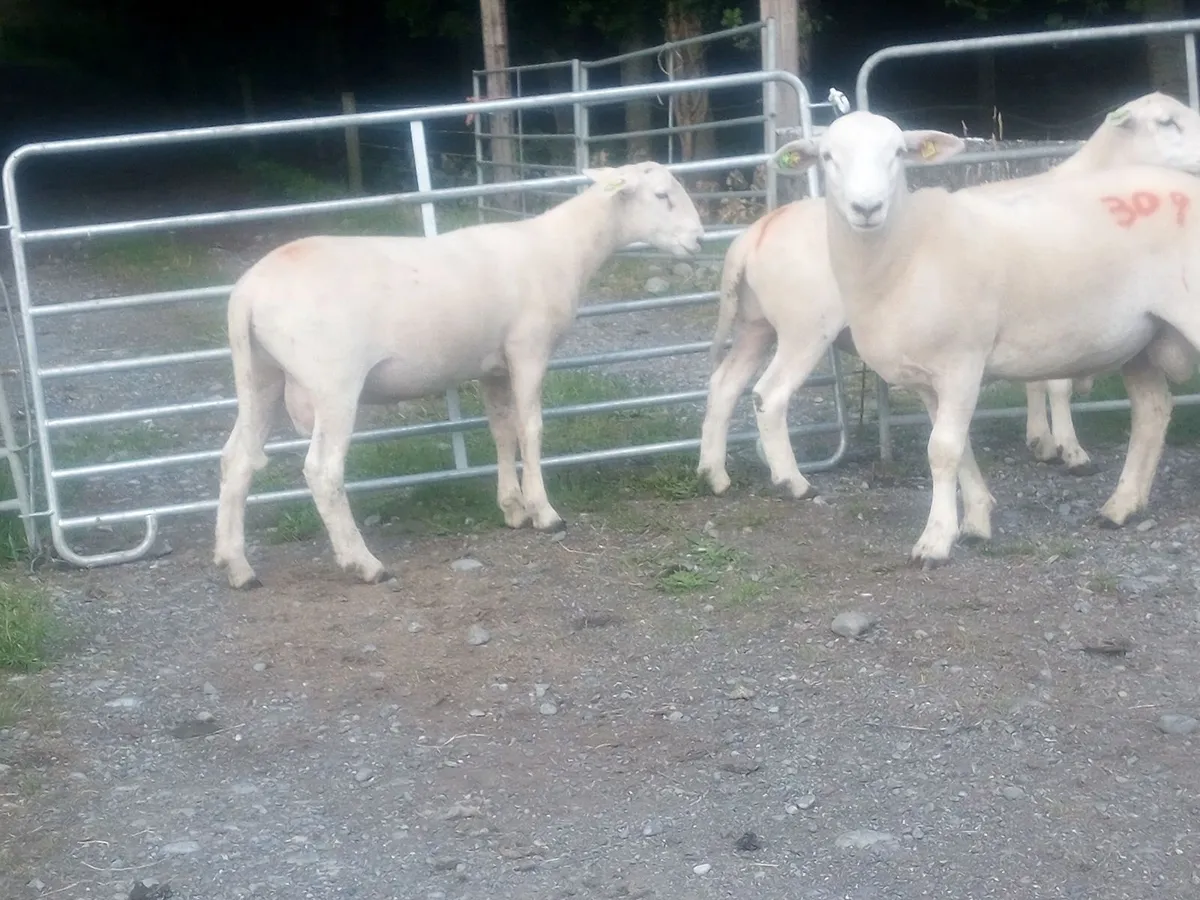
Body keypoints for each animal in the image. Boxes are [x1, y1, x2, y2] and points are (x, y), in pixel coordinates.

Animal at [213, 162, 705, 589]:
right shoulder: (528, 348)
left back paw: (237, 566)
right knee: (322, 471)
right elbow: (531, 428)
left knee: (236, 459)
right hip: (333, 382)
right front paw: (544, 512)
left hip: (262, 375)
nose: (700, 240)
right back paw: (364, 563)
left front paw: (512, 507)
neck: (564, 248)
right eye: (662, 195)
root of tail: (246, 294)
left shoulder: (494, 365)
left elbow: (502, 430)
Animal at [698, 92, 1200, 499]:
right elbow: (1056, 384)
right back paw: (793, 481)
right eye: (1167, 122)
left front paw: (1040, 440)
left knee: (724, 386)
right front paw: (1070, 451)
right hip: (804, 330)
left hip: (756, 326)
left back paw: (714, 474)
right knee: (770, 395)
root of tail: (755, 233)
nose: (867, 207)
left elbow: (1036, 382)